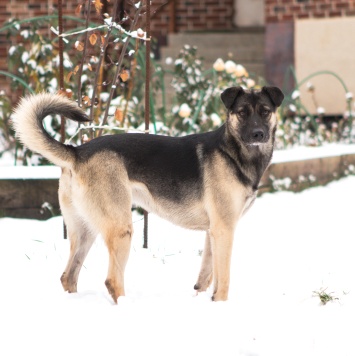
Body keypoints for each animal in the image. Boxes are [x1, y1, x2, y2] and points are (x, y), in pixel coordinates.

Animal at [12, 85, 286, 300]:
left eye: (265, 111)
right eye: (242, 113)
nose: (258, 134)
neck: (234, 152)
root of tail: (77, 152)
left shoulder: (213, 231)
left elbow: (207, 277)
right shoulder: (224, 229)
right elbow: (224, 280)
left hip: (85, 230)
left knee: (68, 276)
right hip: (121, 229)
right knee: (112, 281)